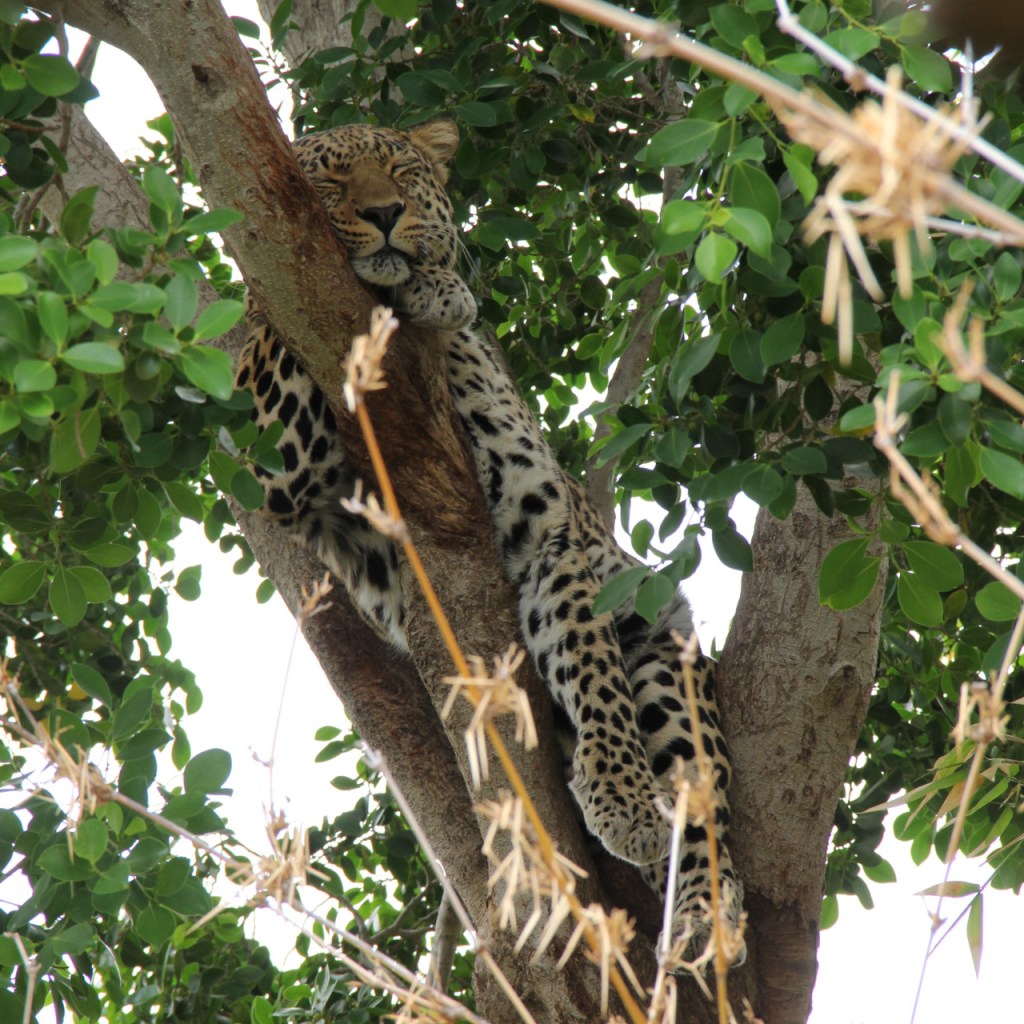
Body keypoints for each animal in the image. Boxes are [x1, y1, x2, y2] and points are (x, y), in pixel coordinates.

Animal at [235, 118, 744, 962]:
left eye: (400, 169)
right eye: (329, 182)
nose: (384, 214)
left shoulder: (552, 537)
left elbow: (590, 661)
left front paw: (624, 800)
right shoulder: (276, 463)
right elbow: (271, 311)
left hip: (662, 637)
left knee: (701, 793)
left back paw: (708, 909)